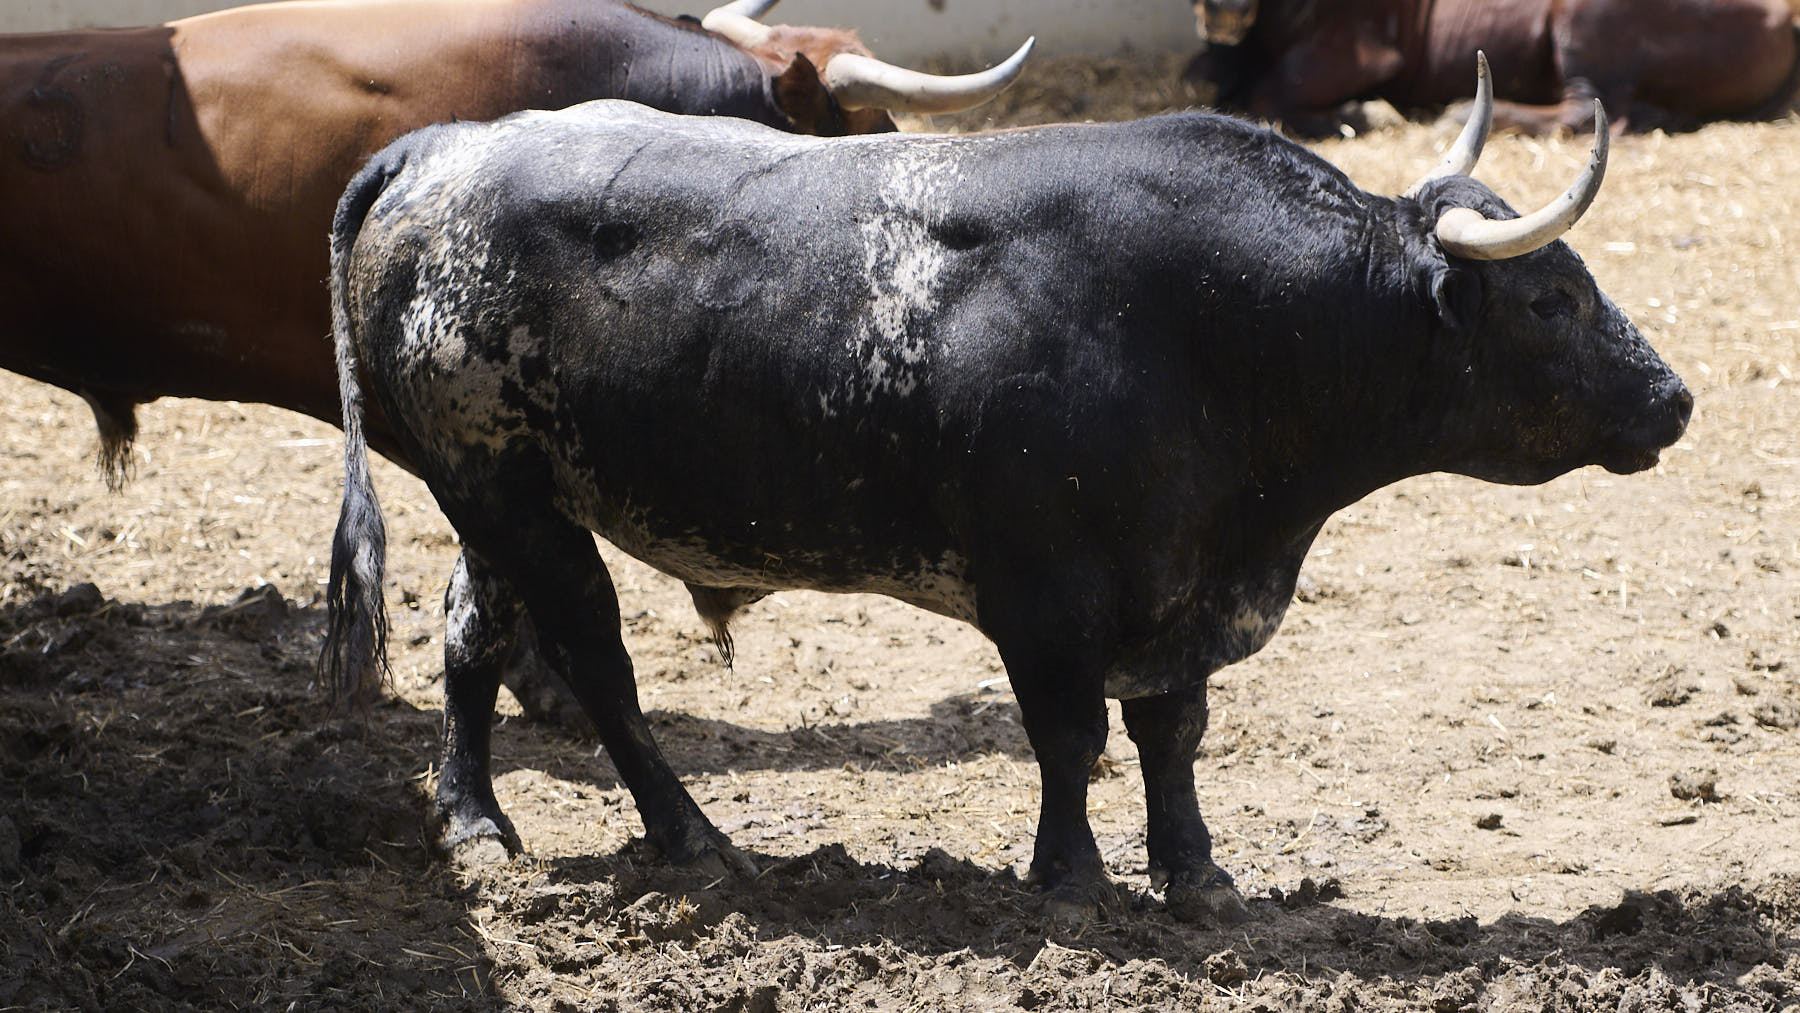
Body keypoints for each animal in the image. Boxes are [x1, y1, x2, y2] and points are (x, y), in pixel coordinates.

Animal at [320, 59, 1684, 921]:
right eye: (1551, 298)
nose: (1671, 397)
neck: (1214, 318)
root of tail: (444, 149)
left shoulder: (1177, 585)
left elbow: (1171, 734)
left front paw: (1197, 876)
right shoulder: (1045, 593)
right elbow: (1071, 738)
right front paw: (1071, 882)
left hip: (502, 498)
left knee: (470, 636)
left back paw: (476, 820)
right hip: (515, 504)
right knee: (597, 666)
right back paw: (695, 839)